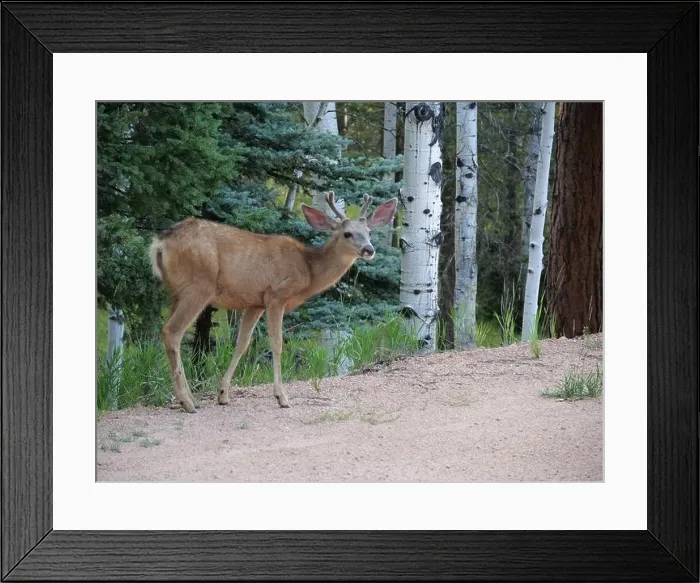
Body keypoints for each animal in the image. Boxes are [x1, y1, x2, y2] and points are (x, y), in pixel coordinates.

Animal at [149, 191, 398, 413]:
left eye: (369, 232)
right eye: (347, 233)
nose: (369, 250)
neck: (308, 270)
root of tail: (160, 244)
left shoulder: (255, 302)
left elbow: (242, 344)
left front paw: (223, 395)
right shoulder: (276, 295)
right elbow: (277, 344)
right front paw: (282, 397)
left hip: (176, 292)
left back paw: (191, 399)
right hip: (199, 287)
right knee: (172, 332)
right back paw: (187, 402)